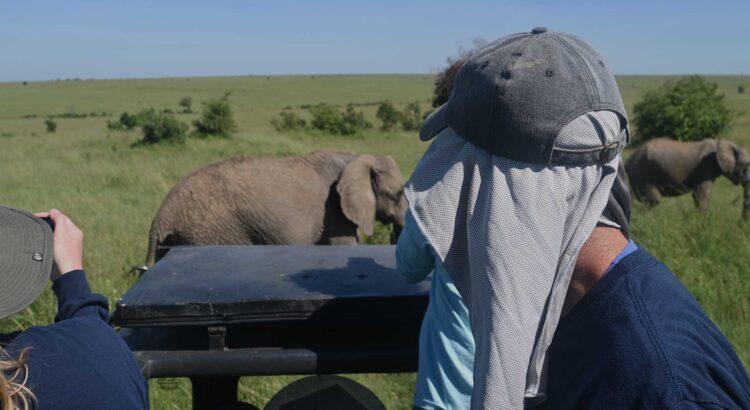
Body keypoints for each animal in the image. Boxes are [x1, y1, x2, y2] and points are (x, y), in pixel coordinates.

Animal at [145, 151, 408, 266]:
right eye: (396, 195)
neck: (358, 158)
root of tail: (161, 217)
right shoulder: (334, 211)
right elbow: (345, 246)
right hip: (210, 232)